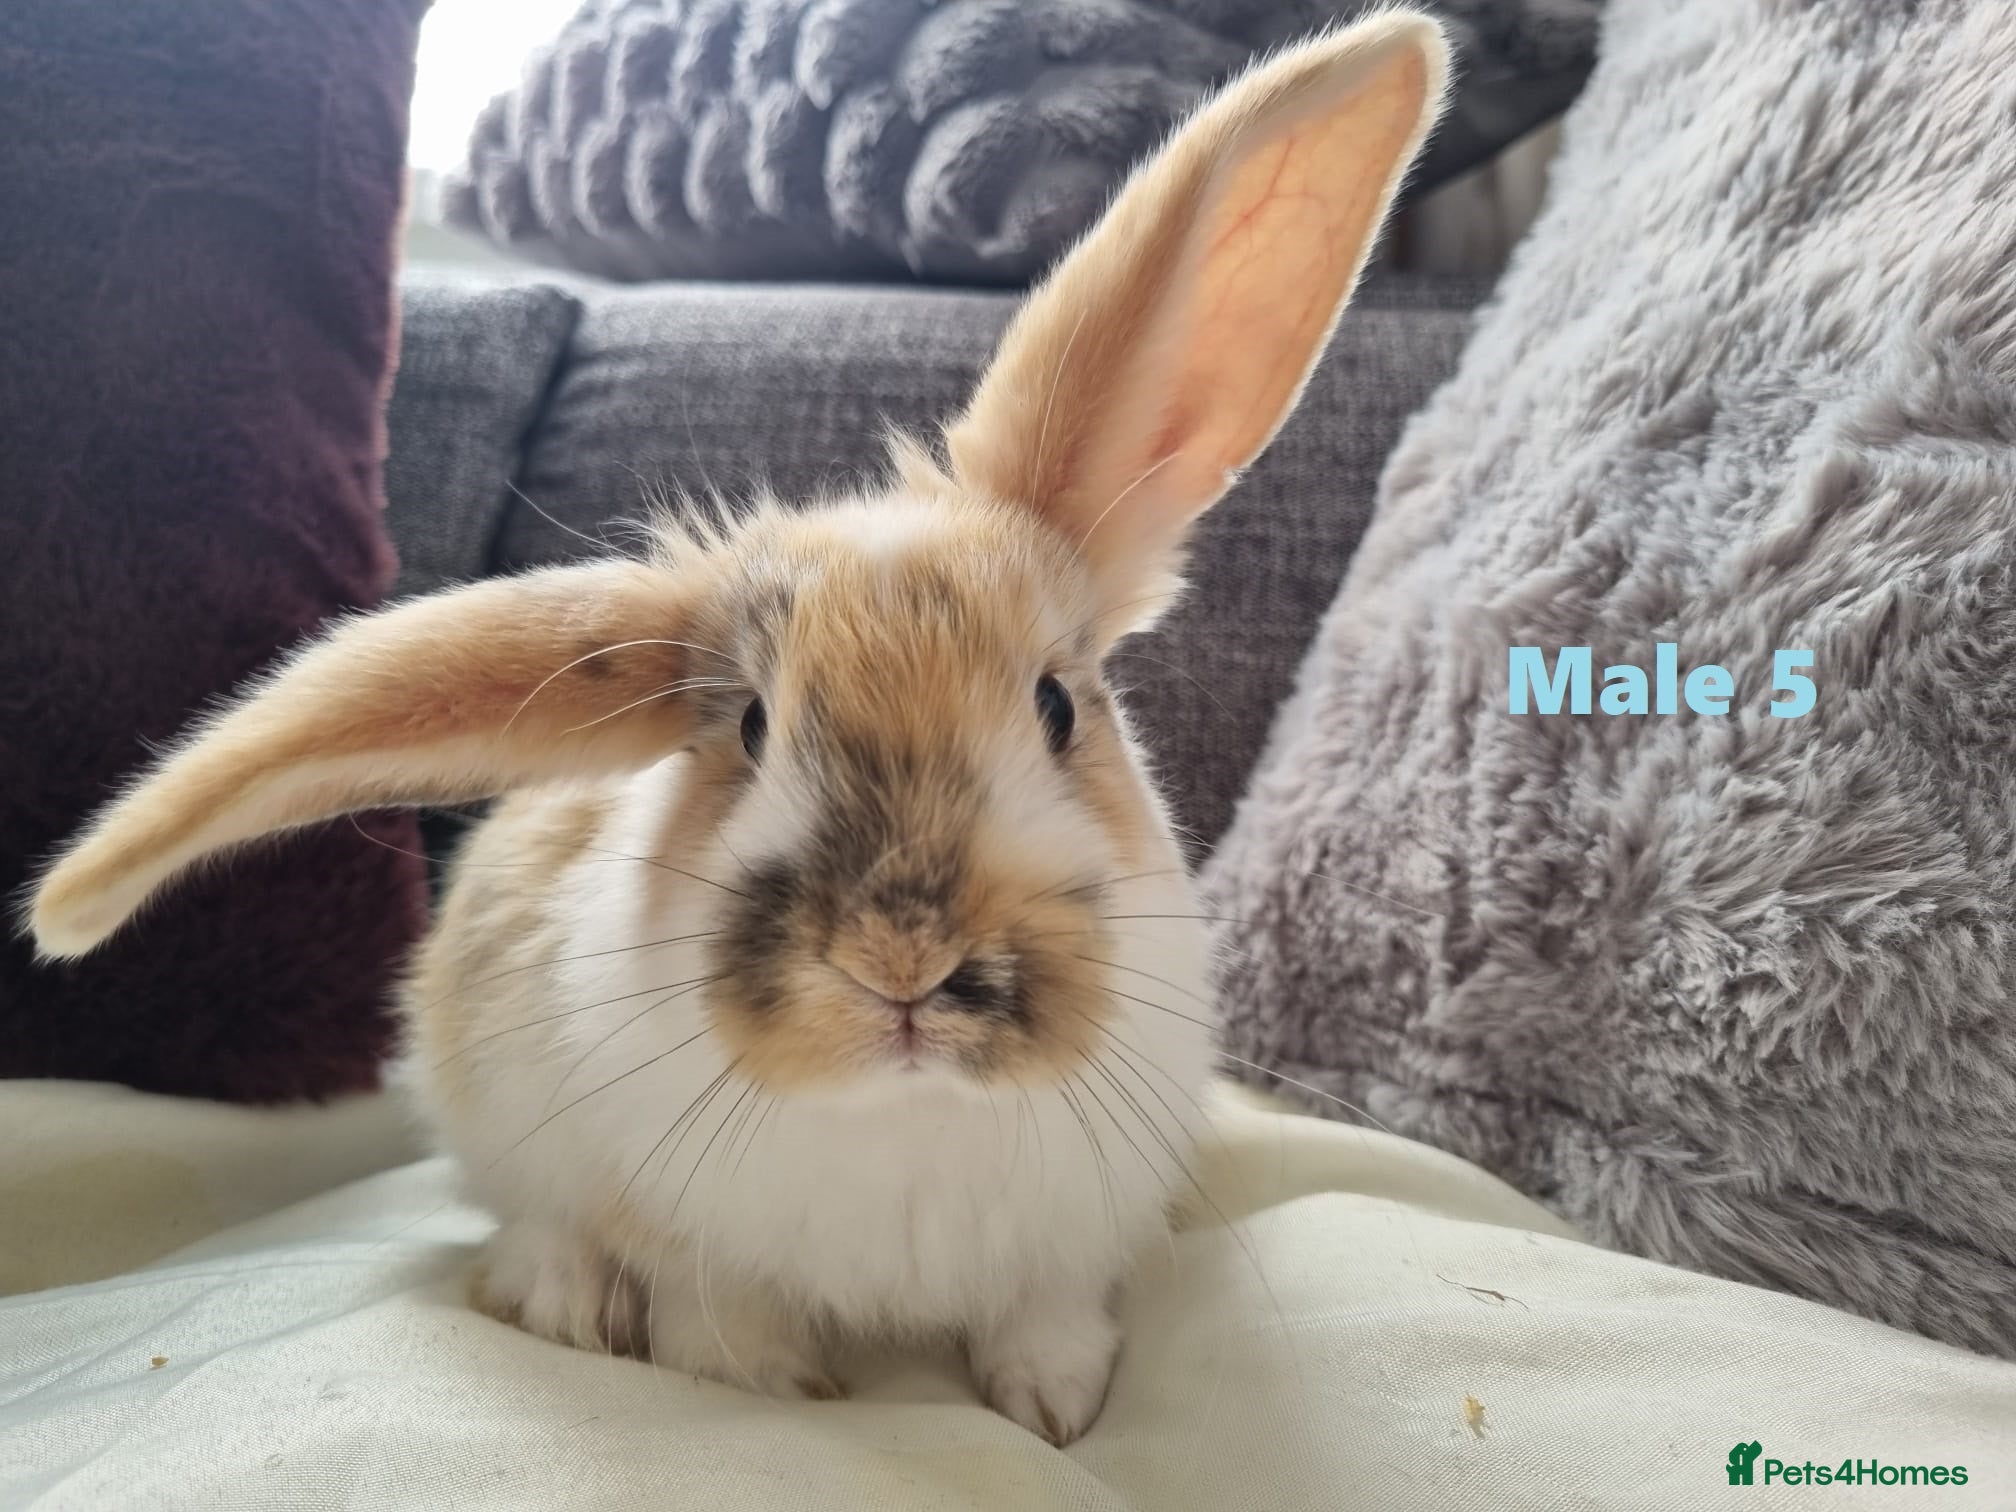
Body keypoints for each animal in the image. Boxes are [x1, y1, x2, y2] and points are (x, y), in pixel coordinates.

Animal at [25, 14, 1446, 1447]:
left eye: (1056, 704)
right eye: (753, 727)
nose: (901, 961)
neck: (904, 1117)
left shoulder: (1065, 1245)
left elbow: (1043, 1323)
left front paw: (1055, 1411)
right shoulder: (683, 1236)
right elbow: (717, 1331)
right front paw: (773, 1387)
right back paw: (563, 1299)